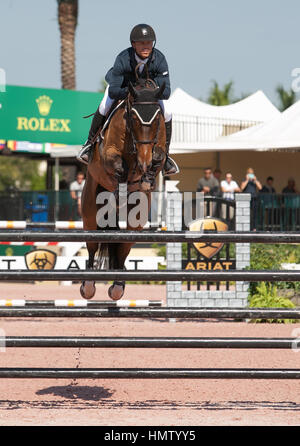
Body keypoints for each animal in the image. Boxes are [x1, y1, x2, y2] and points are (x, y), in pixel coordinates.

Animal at [80, 76, 166, 300]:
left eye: (156, 121)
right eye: (133, 118)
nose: (144, 161)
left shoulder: (158, 148)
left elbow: (159, 157)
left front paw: (147, 175)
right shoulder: (109, 154)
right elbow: (119, 166)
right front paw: (121, 187)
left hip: (136, 219)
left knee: (123, 246)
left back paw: (118, 286)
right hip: (90, 210)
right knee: (92, 244)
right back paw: (88, 285)